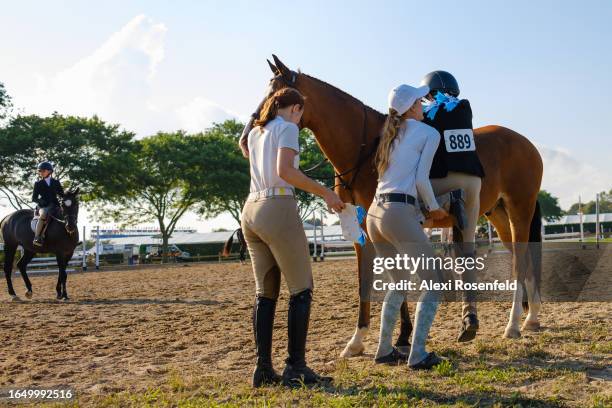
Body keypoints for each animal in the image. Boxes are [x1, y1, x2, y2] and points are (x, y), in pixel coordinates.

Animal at [241, 55, 544, 356]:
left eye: (275, 97)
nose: (246, 140)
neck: (364, 150)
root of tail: (525, 143)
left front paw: (400, 336)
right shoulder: (364, 230)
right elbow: (368, 279)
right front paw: (367, 339)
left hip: (518, 210)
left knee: (518, 263)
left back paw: (511, 325)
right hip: (500, 216)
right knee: (525, 262)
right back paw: (531, 318)